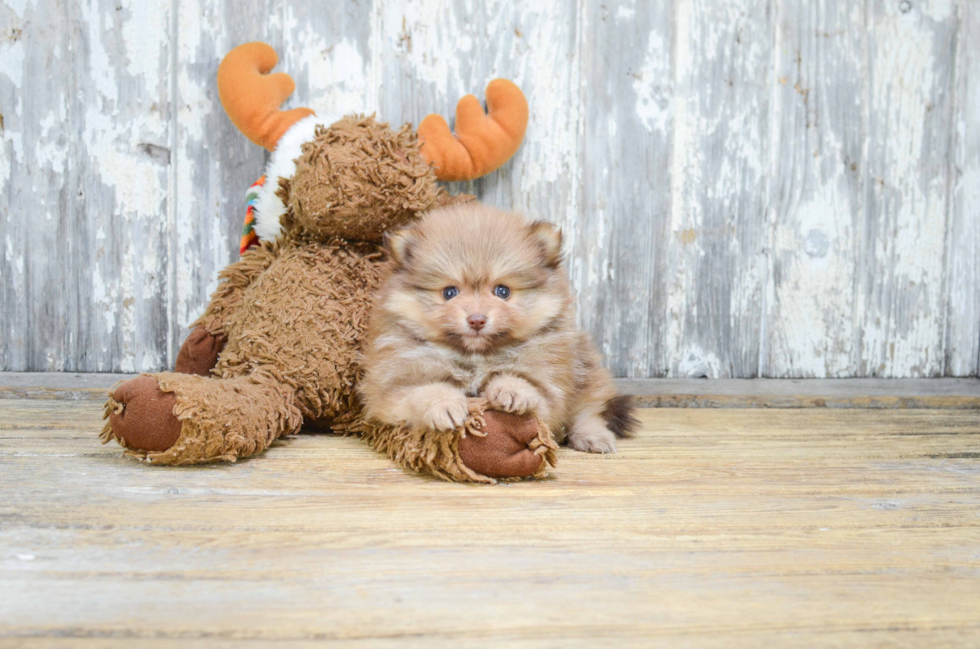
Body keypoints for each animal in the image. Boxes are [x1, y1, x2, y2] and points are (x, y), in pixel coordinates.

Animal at [358, 202, 636, 450]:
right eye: (449, 292)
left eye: (502, 291)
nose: (477, 319)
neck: (475, 357)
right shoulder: (391, 387)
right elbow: (423, 391)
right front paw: (444, 404)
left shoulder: (551, 388)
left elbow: (532, 389)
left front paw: (512, 390)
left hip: (586, 370)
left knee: (590, 409)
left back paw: (592, 437)